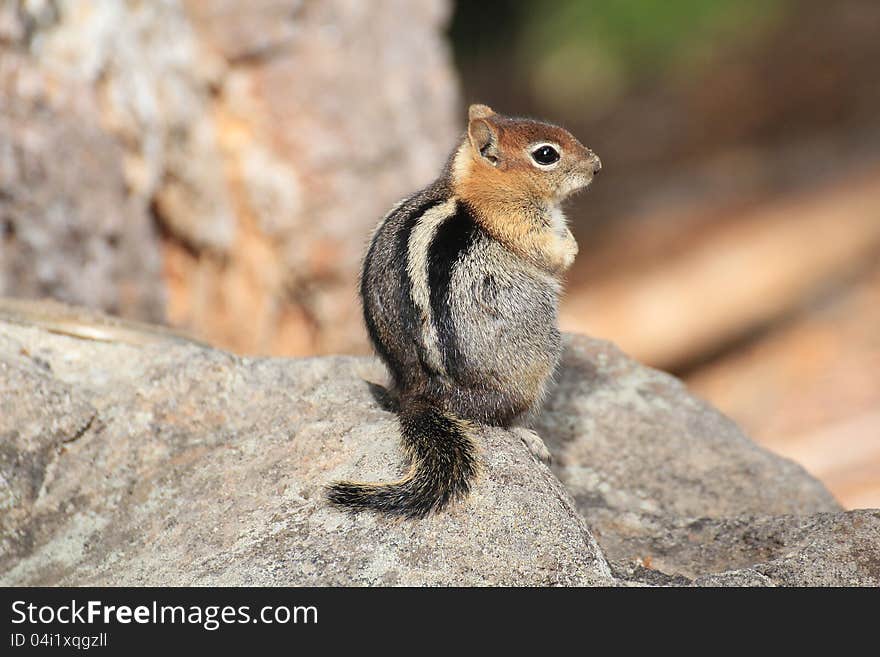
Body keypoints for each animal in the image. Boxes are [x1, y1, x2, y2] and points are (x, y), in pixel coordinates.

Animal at [326, 104, 600, 516]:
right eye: (546, 154)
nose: (597, 165)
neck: (471, 187)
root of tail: (420, 394)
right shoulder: (520, 225)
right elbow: (551, 253)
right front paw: (571, 248)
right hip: (539, 360)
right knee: (496, 419)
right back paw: (528, 435)